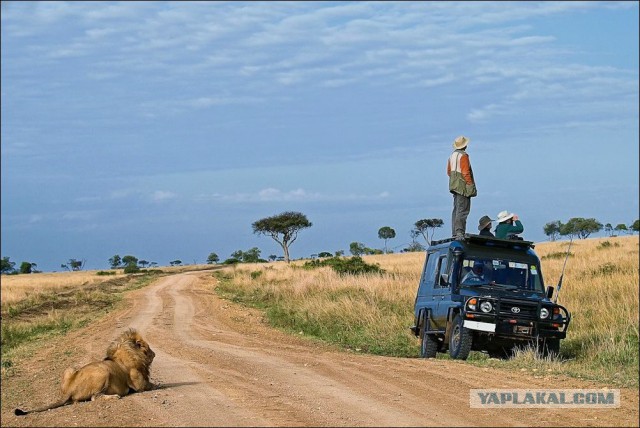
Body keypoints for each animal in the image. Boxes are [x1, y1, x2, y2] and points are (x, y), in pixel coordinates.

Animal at [14, 328, 155, 414]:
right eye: (147, 347)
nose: (154, 354)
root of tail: (70, 389)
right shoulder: (139, 385)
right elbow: (152, 385)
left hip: (70, 369)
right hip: (103, 372)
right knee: (95, 397)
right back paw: (115, 396)